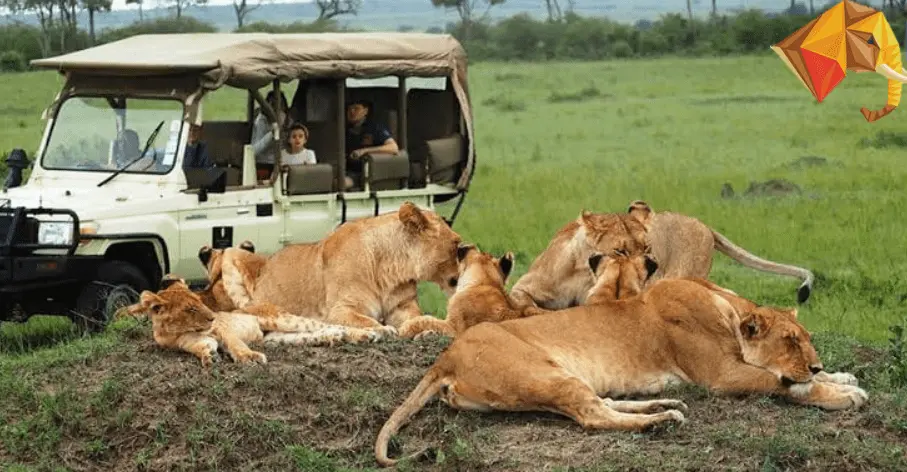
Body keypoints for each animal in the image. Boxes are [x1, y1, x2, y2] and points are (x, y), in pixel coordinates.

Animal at [124, 274, 398, 366]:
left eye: (200, 302)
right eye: (190, 309)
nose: (212, 317)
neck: (176, 332)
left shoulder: (223, 330)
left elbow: (236, 344)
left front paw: (249, 357)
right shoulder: (188, 343)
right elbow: (202, 347)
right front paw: (209, 357)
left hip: (280, 319)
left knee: (332, 324)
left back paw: (375, 333)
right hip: (278, 338)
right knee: (316, 334)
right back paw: (333, 338)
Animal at [216, 201, 464, 330]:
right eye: (456, 244)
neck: (392, 269)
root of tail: (266, 263)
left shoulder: (402, 307)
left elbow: (417, 319)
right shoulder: (340, 310)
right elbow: (370, 322)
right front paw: (385, 328)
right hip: (233, 254)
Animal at [374, 251, 864, 464]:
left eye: (807, 339)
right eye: (790, 341)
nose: (816, 363)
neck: (726, 306)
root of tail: (446, 357)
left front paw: (841, 377)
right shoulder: (722, 375)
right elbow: (788, 385)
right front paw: (840, 394)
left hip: (563, 377)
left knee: (602, 403)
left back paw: (665, 404)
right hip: (542, 375)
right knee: (594, 416)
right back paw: (660, 421)